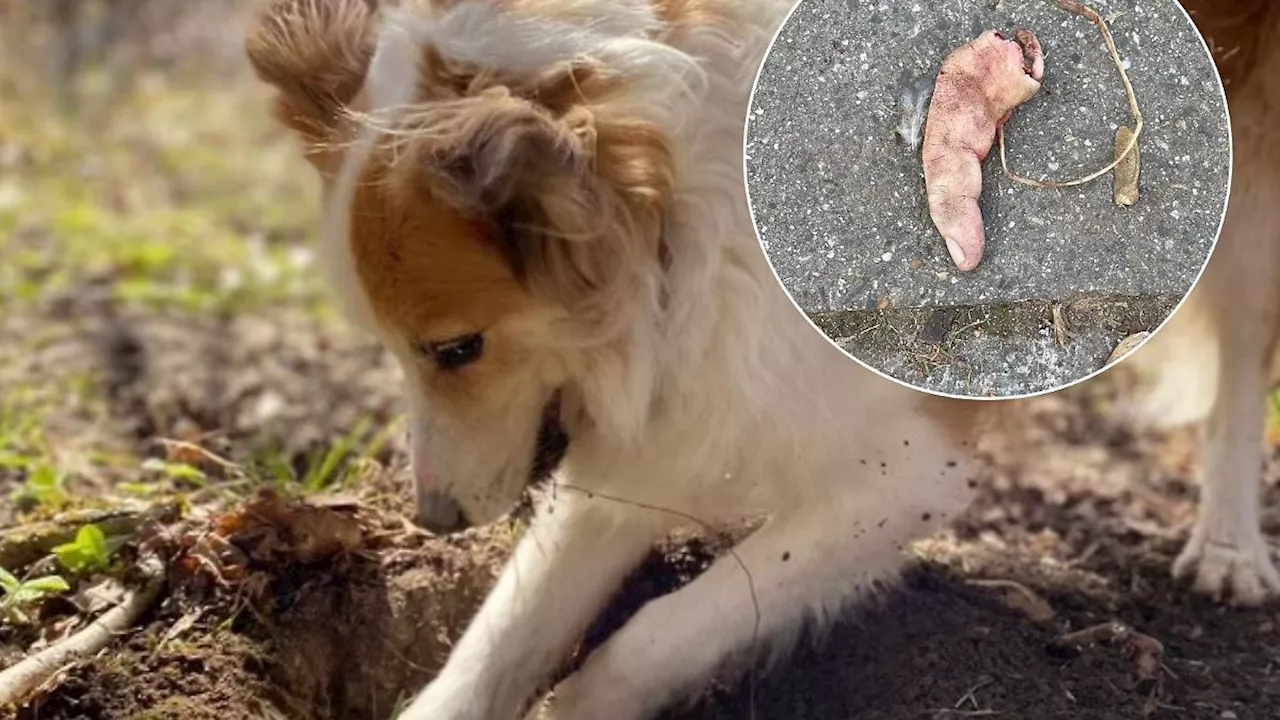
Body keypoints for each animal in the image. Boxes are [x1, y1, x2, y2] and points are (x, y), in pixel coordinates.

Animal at [241, 1, 1280, 717]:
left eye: (457, 349)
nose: (435, 521)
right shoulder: (664, 421)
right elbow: (503, 633)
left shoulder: (907, 477)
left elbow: (656, 633)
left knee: (1240, 367)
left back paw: (1229, 546)